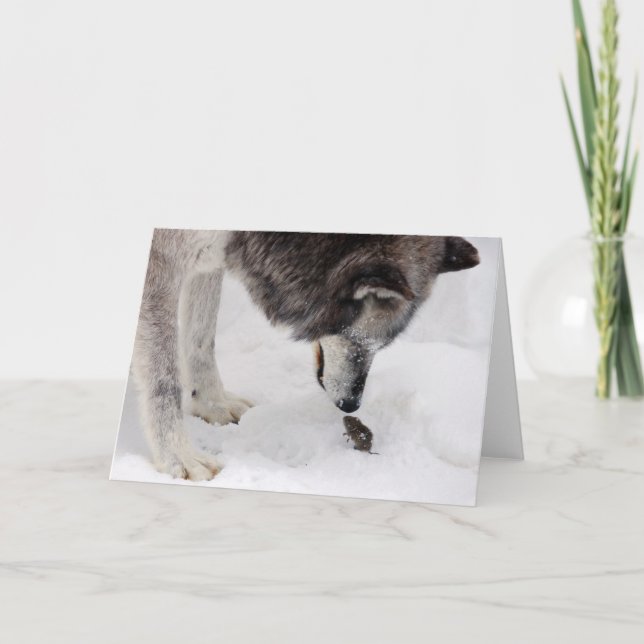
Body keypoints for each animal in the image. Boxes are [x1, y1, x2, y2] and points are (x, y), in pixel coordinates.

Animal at [132, 229, 480, 480]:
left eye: (381, 348)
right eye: (358, 343)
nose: (351, 405)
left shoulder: (211, 254)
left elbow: (202, 336)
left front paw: (211, 404)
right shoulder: (163, 263)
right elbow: (164, 379)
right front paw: (178, 458)